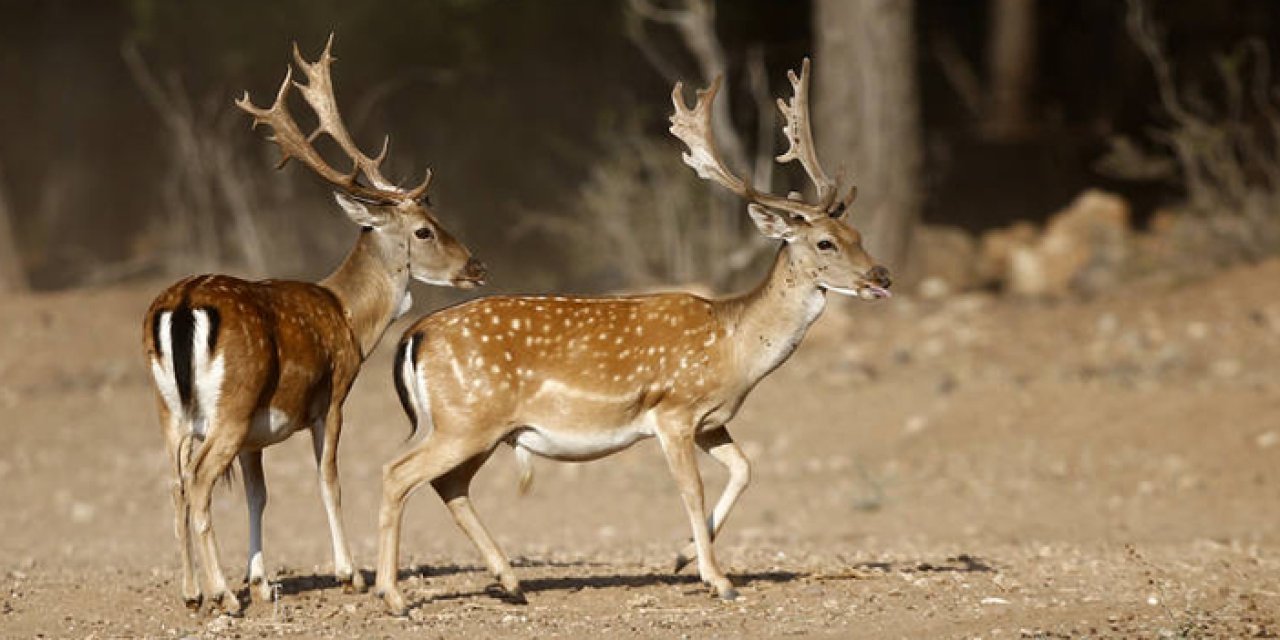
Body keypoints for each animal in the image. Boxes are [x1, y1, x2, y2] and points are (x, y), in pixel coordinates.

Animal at [141, 36, 483, 614]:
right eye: (425, 230)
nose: (476, 266)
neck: (347, 315)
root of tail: (182, 304)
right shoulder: (334, 394)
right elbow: (329, 478)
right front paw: (351, 576)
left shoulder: (256, 434)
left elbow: (258, 494)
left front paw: (260, 581)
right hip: (230, 402)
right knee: (200, 481)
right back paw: (222, 595)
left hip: (170, 411)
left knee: (175, 483)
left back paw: (191, 593)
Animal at [371, 60, 890, 614]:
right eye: (826, 242)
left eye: (859, 235)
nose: (882, 275)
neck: (735, 345)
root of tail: (415, 334)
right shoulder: (674, 411)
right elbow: (693, 490)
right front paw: (718, 579)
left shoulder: (711, 421)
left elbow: (745, 468)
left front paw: (683, 557)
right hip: (466, 420)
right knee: (398, 473)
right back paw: (394, 595)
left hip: (477, 428)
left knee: (448, 485)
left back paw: (508, 582)